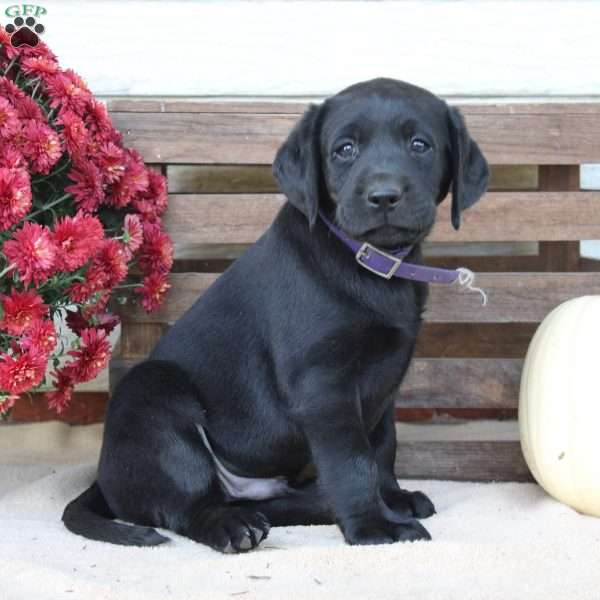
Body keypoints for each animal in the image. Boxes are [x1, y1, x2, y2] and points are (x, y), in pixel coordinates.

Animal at [64, 78, 488, 552]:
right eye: (344, 149)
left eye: (420, 145)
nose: (384, 196)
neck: (369, 263)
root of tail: (103, 478)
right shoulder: (323, 386)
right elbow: (353, 461)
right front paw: (375, 526)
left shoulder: (386, 380)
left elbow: (382, 447)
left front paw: (393, 499)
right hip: (153, 391)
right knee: (187, 505)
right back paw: (232, 526)